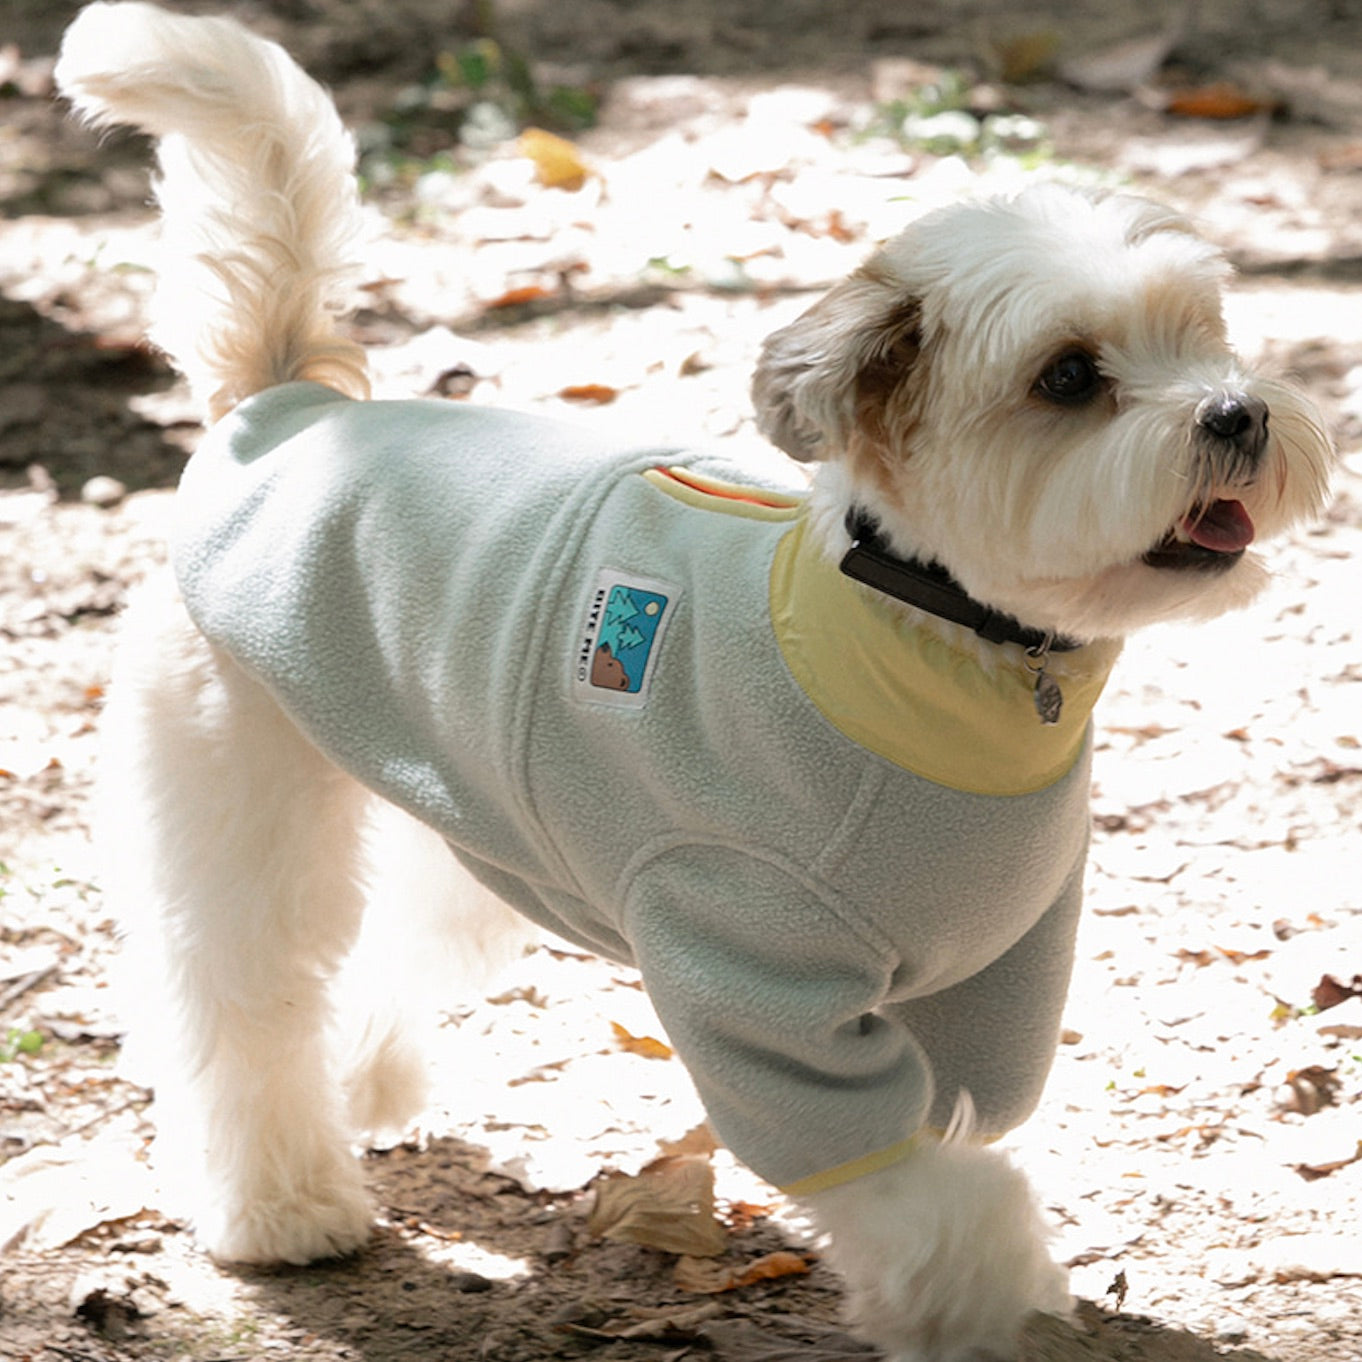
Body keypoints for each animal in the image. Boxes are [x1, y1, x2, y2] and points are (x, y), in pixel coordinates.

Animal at [55, 5, 1329, 1356]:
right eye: (1071, 377)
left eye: (1207, 335)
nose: (1239, 412)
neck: (933, 638)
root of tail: (287, 407)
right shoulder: (763, 989)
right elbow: (926, 1193)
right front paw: (983, 1305)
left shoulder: (995, 993)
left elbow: (975, 1117)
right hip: (244, 799)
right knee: (239, 1006)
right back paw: (281, 1203)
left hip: (467, 815)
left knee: (384, 948)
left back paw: (362, 1087)